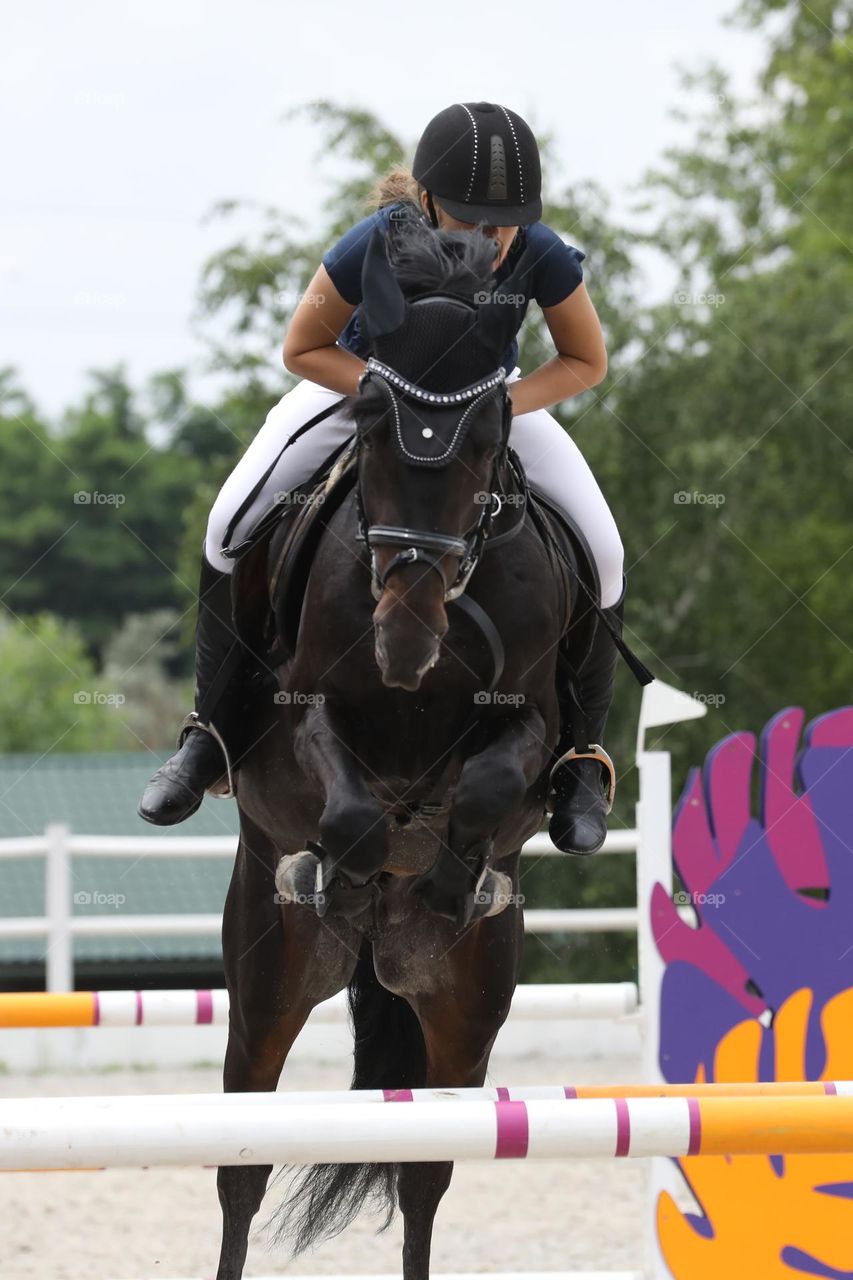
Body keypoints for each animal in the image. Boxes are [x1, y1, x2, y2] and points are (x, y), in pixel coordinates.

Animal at [214, 221, 586, 1280]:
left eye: (489, 435)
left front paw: (451, 876)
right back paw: (340, 887)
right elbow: (348, 806)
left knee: (425, 1173)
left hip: (467, 1008)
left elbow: (493, 782)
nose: (405, 641)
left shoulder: (530, 724)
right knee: (241, 1169)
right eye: (372, 422)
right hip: (266, 982)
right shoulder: (303, 717)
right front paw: (347, 865)